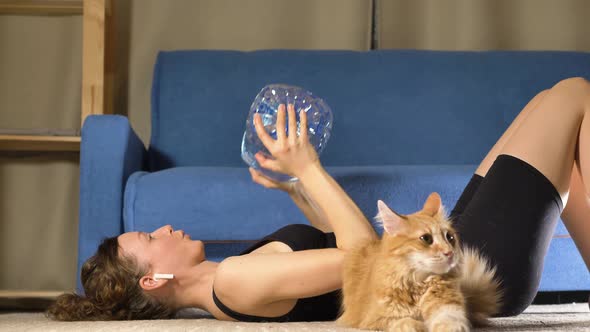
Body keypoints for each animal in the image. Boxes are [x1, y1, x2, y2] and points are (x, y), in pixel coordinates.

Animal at [340, 193, 502, 330]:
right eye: (426, 239)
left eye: (449, 237)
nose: (449, 252)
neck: (419, 284)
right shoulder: (375, 319)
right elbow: (405, 322)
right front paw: (420, 325)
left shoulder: (448, 307)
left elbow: (449, 321)